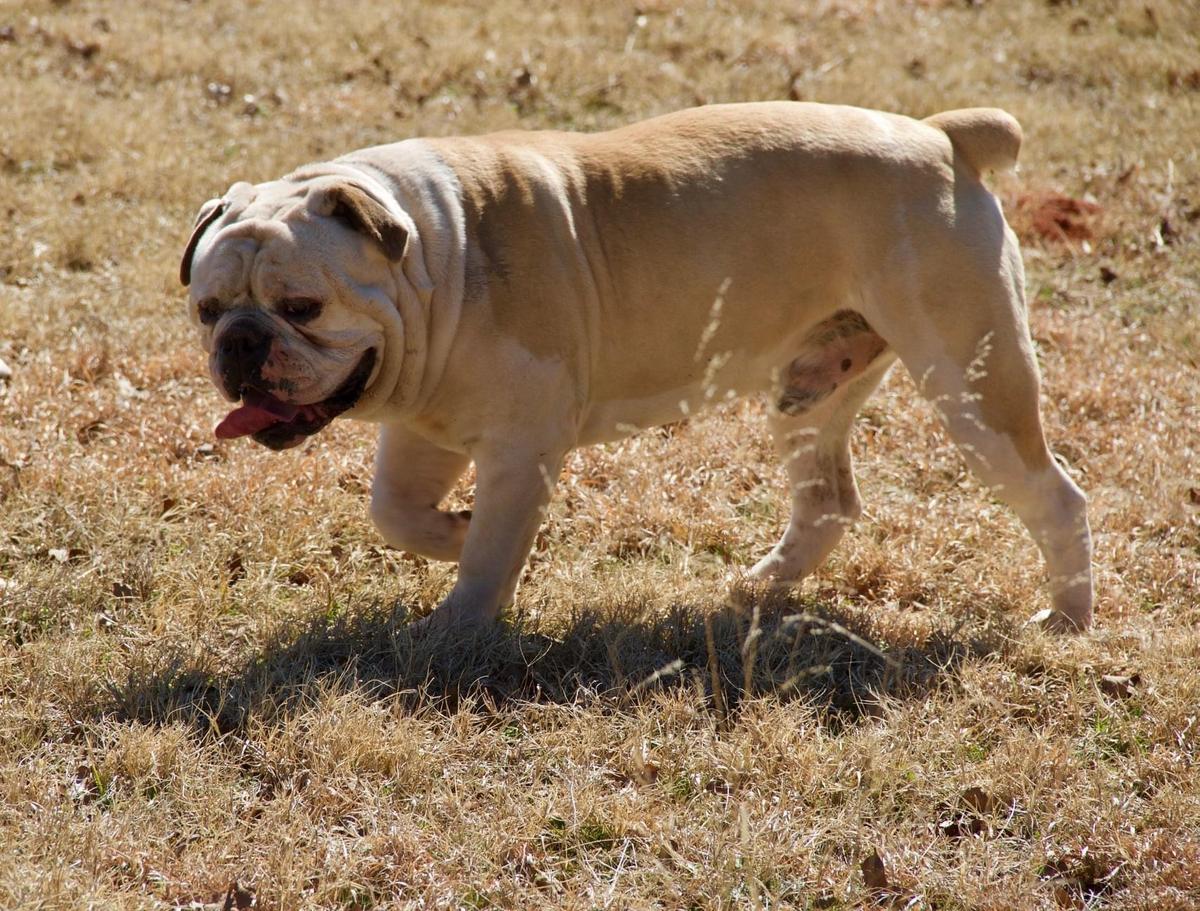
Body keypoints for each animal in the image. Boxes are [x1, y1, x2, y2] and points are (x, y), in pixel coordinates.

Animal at [180, 101, 1099, 633]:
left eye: (303, 307)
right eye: (208, 307)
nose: (242, 342)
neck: (439, 254)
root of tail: (944, 136)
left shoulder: (517, 448)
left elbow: (486, 564)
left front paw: (455, 628)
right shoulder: (424, 432)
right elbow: (395, 514)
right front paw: (457, 531)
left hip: (972, 383)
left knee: (1056, 495)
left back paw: (1065, 618)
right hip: (811, 392)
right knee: (828, 504)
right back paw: (758, 588)